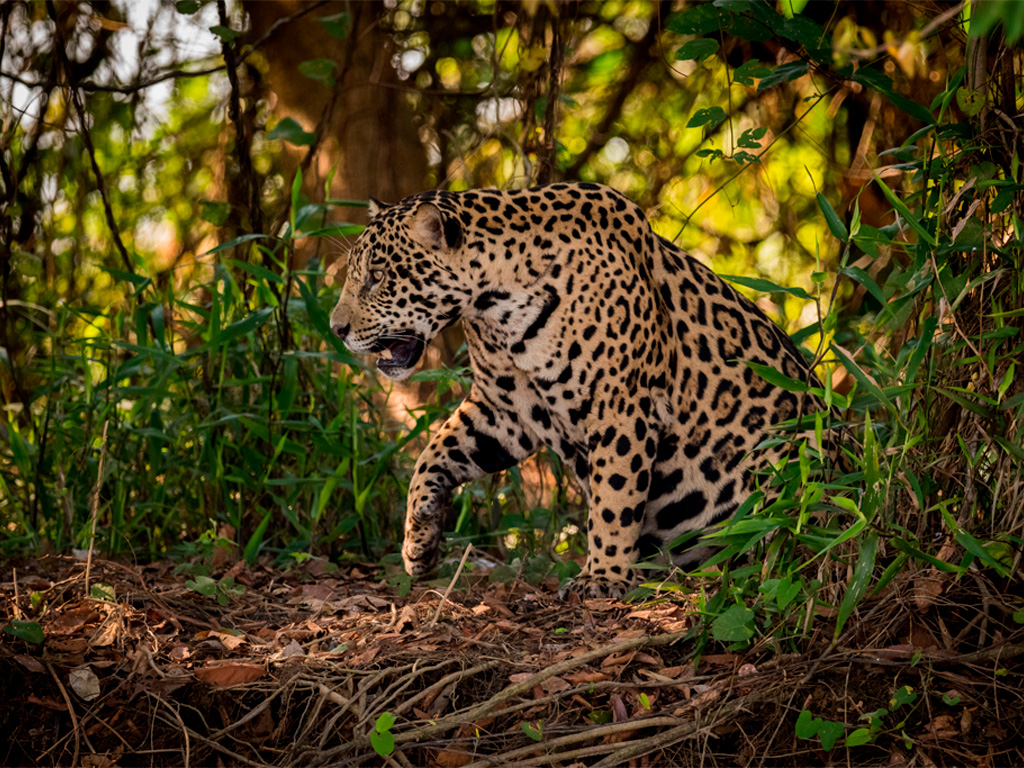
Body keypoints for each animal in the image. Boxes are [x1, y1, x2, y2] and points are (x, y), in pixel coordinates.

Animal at [330, 182, 826, 598]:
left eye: (377, 275)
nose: (336, 329)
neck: (495, 305)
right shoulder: (503, 411)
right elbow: (433, 454)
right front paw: (419, 538)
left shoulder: (621, 407)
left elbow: (615, 497)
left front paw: (602, 576)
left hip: (794, 451)